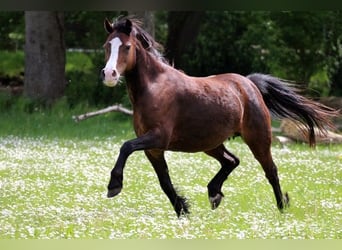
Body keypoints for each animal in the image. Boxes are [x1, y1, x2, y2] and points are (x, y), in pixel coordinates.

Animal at [100, 17, 338, 217]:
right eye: (106, 46)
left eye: (127, 47)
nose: (109, 74)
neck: (153, 88)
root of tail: (249, 83)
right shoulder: (154, 149)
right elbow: (164, 181)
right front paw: (183, 210)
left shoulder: (158, 137)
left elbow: (126, 147)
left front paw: (114, 186)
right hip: (210, 143)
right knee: (232, 160)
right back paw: (214, 193)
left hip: (258, 139)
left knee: (270, 171)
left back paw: (282, 207)